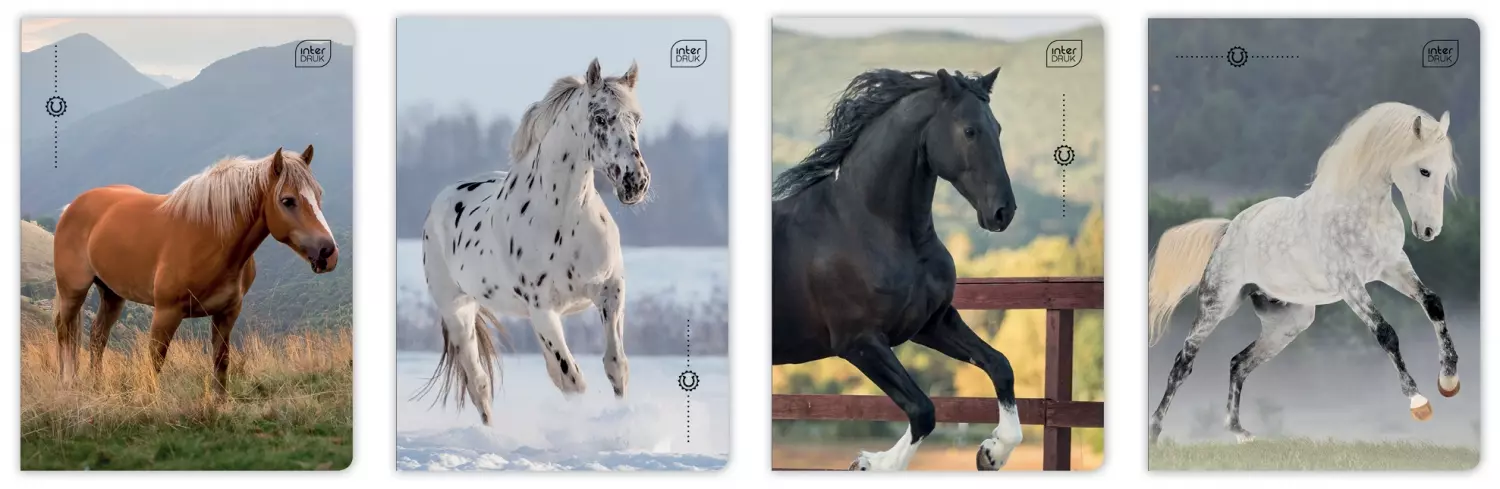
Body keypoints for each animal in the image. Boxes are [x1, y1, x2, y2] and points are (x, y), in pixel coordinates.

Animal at [52, 145, 339, 397]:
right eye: (287, 200)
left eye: (318, 194)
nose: (328, 253)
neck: (209, 236)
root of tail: (72, 207)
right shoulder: (166, 312)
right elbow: (155, 359)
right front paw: (152, 403)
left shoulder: (227, 313)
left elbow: (221, 360)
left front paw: (220, 404)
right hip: (73, 292)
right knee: (64, 332)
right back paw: (68, 383)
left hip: (112, 294)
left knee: (97, 336)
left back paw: (97, 386)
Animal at [414, 59, 650, 425]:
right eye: (599, 117)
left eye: (636, 118)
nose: (635, 182)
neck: (564, 219)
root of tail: (440, 201)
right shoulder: (543, 310)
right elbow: (572, 379)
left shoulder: (610, 290)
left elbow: (615, 366)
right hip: (458, 311)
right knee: (479, 382)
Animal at [772, 68, 1022, 471]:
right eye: (969, 130)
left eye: (996, 128)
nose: (1003, 212)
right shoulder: (859, 342)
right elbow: (923, 410)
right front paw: (868, 464)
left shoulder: (931, 323)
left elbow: (1000, 365)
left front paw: (992, 452)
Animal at [1147, 102, 1461, 444]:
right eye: (1424, 170)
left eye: (1445, 172)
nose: (1429, 231)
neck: (1360, 210)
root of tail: (1228, 230)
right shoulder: (1348, 282)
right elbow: (1385, 333)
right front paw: (1418, 401)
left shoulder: (1392, 267)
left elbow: (1432, 303)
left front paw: (1449, 380)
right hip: (1217, 305)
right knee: (1183, 363)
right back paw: (1155, 432)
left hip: (1289, 322)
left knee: (1238, 363)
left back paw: (1239, 431)